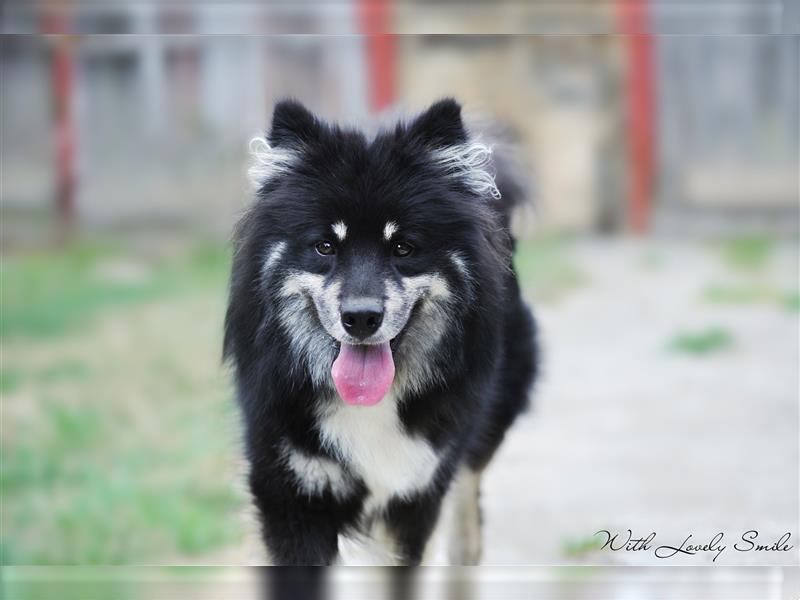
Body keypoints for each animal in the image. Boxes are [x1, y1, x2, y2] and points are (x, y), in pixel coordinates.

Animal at [222, 97, 540, 564]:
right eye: (325, 246)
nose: (360, 318)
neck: (370, 406)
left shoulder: (414, 493)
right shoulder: (292, 494)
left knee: (468, 502)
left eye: (403, 248)